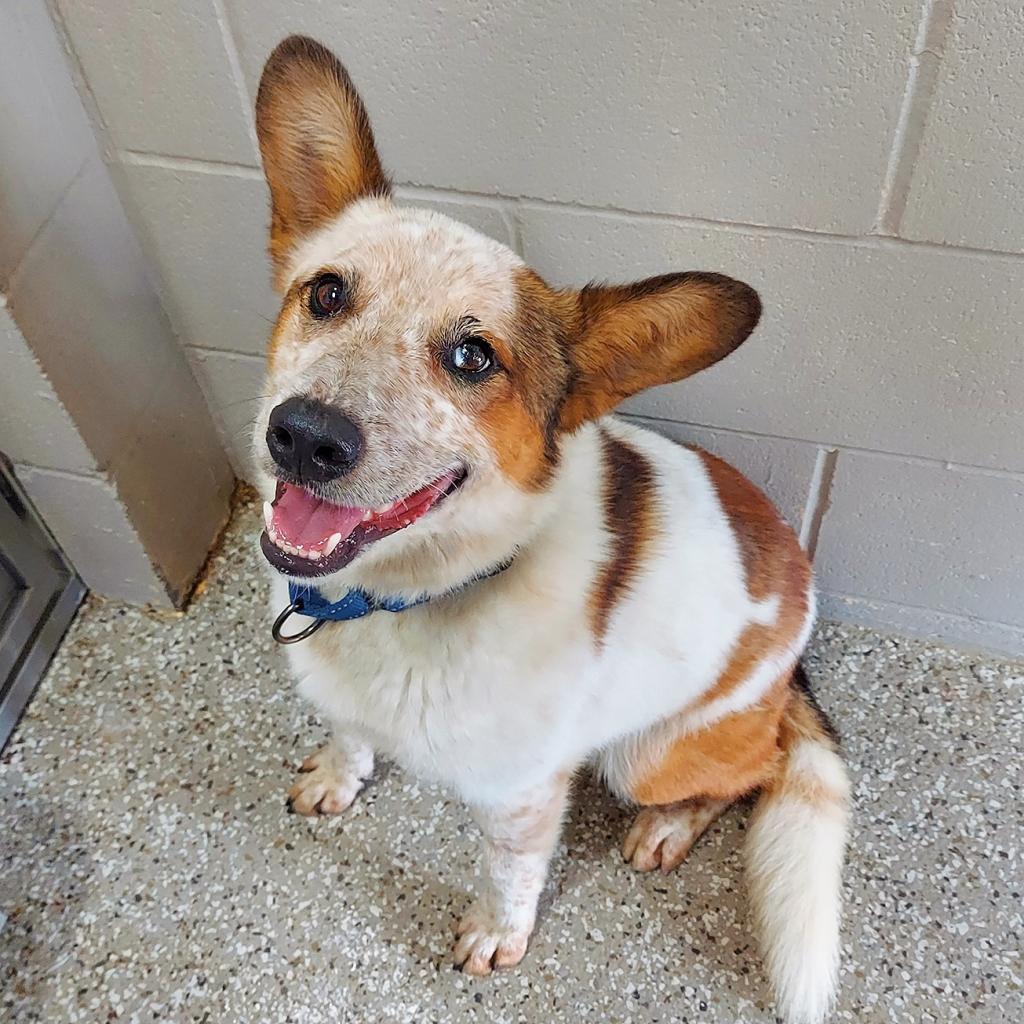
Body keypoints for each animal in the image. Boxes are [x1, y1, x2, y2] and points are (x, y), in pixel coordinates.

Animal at [251, 36, 851, 1024]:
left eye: (472, 355)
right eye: (327, 294)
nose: (304, 436)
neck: (402, 598)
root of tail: (792, 658)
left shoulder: (522, 793)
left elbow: (510, 874)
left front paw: (499, 935)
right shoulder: (346, 693)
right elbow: (347, 731)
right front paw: (340, 773)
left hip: (647, 754)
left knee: (755, 772)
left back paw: (668, 828)